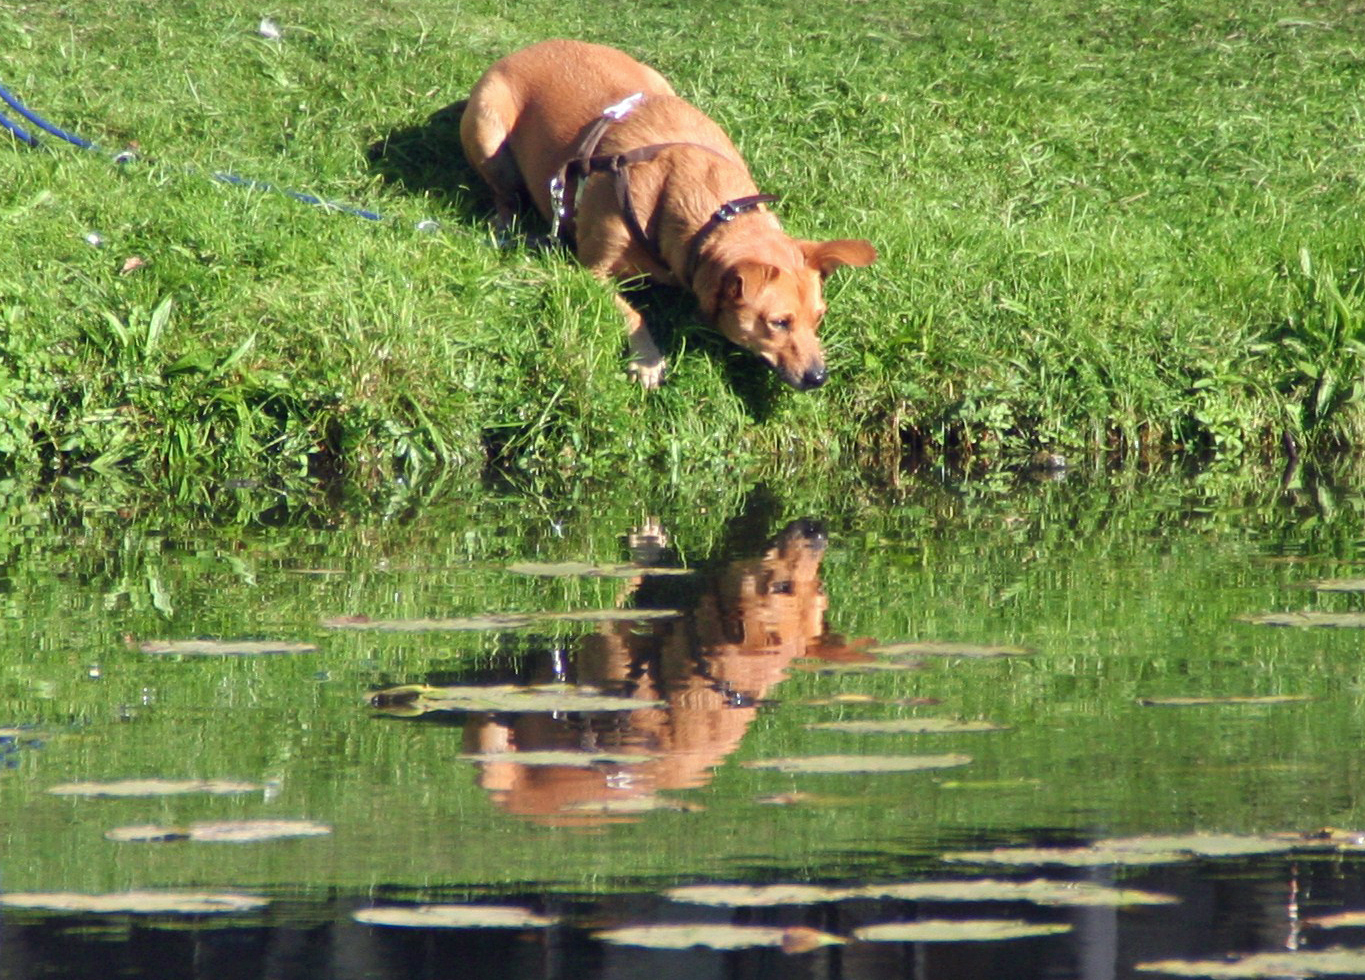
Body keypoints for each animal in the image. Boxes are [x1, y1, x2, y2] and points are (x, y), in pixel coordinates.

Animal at [458, 40, 873, 390]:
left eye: (818, 318)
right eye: (779, 323)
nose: (819, 377)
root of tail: (525, 49)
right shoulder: (591, 271)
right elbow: (634, 314)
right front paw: (647, 359)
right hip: (488, 131)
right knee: (505, 195)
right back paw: (509, 226)